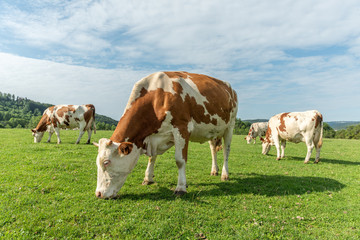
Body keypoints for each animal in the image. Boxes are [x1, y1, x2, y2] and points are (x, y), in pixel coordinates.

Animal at [94, 71, 238, 199]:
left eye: (106, 162)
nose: (98, 194)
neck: (158, 96)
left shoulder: (182, 128)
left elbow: (180, 160)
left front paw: (181, 188)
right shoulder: (154, 137)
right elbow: (152, 158)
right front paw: (148, 178)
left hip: (230, 126)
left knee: (226, 151)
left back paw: (224, 174)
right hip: (213, 130)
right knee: (213, 149)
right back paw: (214, 170)